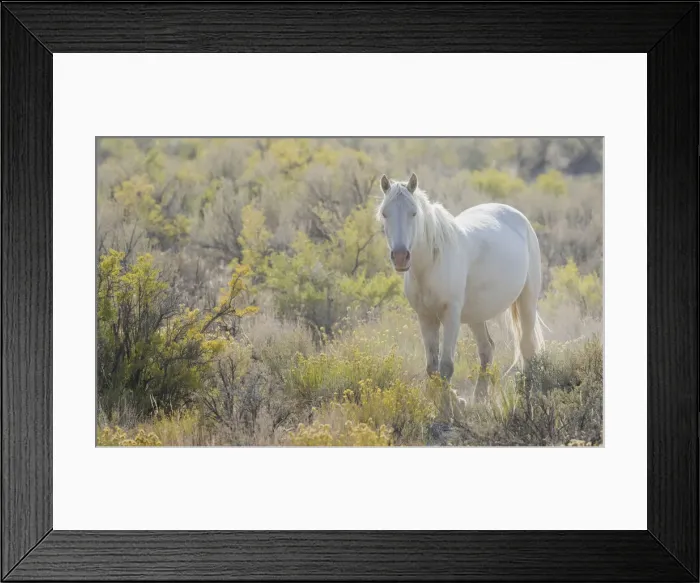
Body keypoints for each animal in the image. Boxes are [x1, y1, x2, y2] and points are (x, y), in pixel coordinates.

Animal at [377, 172, 545, 399]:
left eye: (413, 213)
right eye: (385, 213)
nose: (401, 256)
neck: (431, 264)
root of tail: (519, 217)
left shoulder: (451, 315)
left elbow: (446, 368)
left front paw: (449, 407)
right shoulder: (425, 317)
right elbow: (432, 369)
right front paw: (453, 403)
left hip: (527, 302)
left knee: (527, 348)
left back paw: (527, 395)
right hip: (477, 315)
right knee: (487, 349)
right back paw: (479, 399)